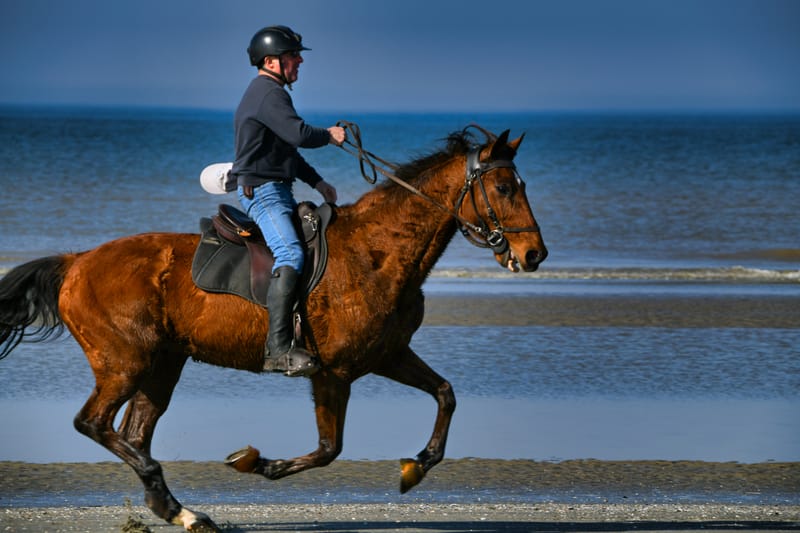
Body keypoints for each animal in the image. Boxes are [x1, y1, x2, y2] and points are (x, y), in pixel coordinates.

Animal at [0, 126, 547, 531]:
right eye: (504, 188)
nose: (534, 255)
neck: (377, 252)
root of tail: (77, 262)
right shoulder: (332, 372)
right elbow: (329, 449)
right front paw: (255, 462)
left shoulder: (387, 355)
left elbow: (445, 394)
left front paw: (416, 466)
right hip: (124, 363)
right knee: (94, 424)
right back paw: (172, 500)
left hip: (161, 365)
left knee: (134, 433)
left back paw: (178, 511)